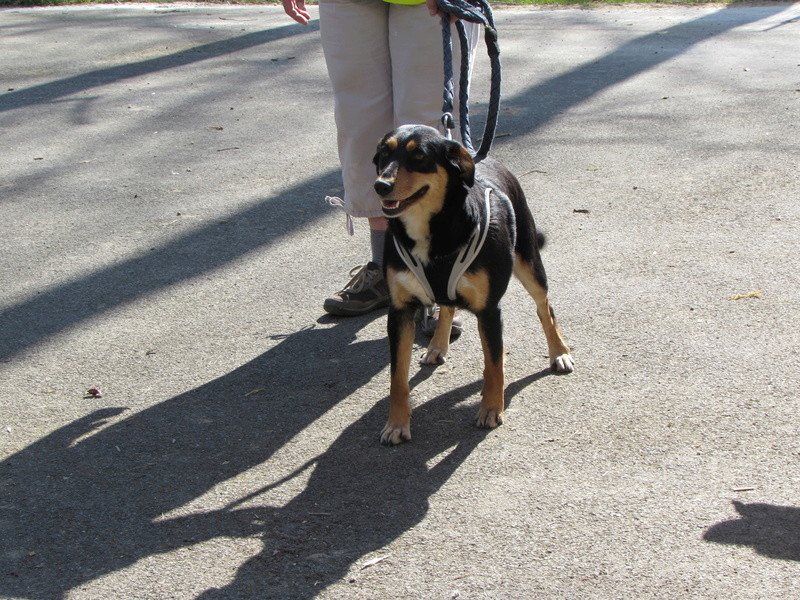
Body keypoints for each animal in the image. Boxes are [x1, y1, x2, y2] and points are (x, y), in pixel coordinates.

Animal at [376, 124, 576, 446]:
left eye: (419, 156)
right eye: (383, 153)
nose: (380, 185)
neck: (432, 232)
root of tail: (481, 156)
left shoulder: (490, 311)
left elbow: (493, 366)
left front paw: (492, 409)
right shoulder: (399, 311)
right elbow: (397, 377)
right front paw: (396, 423)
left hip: (530, 263)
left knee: (544, 307)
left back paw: (559, 352)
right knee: (446, 306)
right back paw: (437, 346)